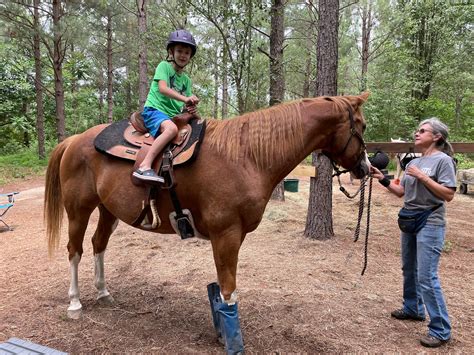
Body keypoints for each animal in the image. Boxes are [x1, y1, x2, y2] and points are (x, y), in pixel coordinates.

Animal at [44, 93, 370, 354]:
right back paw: (75, 303)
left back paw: (103, 293)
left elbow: (222, 289)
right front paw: (233, 341)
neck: (246, 155)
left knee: (98, 244)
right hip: (79, 210)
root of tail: (73, 140)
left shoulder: (232, 236)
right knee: (75, 250)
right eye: (363, 126)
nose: (367, 168)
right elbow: (228, 290)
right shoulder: (226, 234)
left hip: (108, 210)